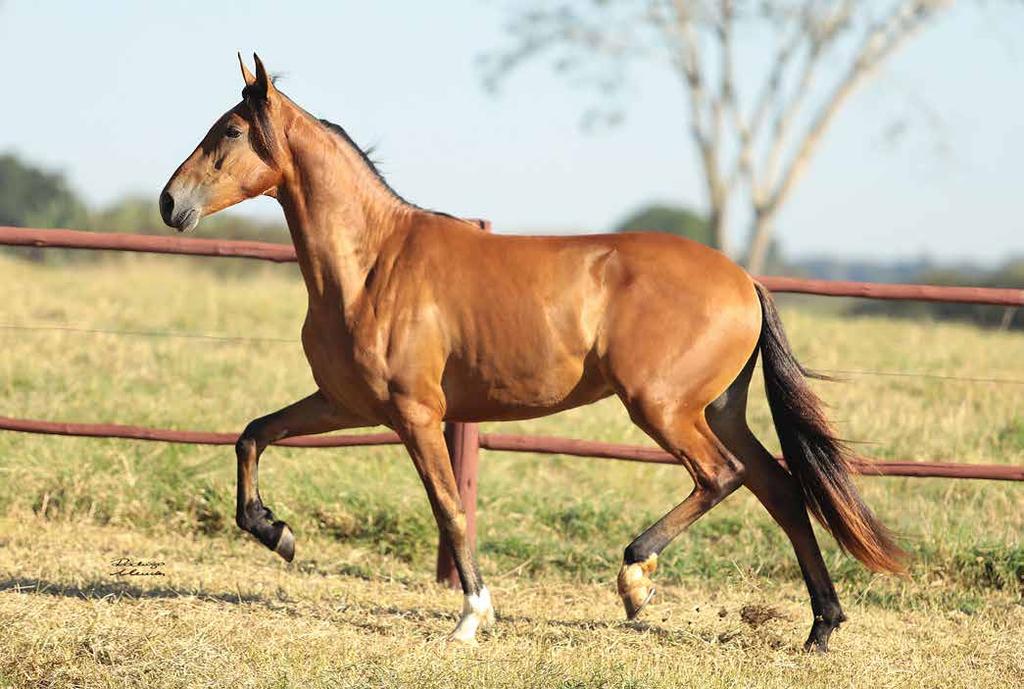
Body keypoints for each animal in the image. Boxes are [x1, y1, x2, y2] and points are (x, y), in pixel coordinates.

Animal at [161, 53, 905, 651]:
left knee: (721, 476)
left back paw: (636, 578)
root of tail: (745, 281)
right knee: (779, 488)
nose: (171, 203)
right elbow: (253, 435)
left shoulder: (416, 414)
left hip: (663, 408)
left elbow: (448, 506)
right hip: (717, 408)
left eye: (230, 131)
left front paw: (470, 618)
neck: (373, 264)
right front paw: (274, 531)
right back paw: (821, 627)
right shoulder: (347, 404)